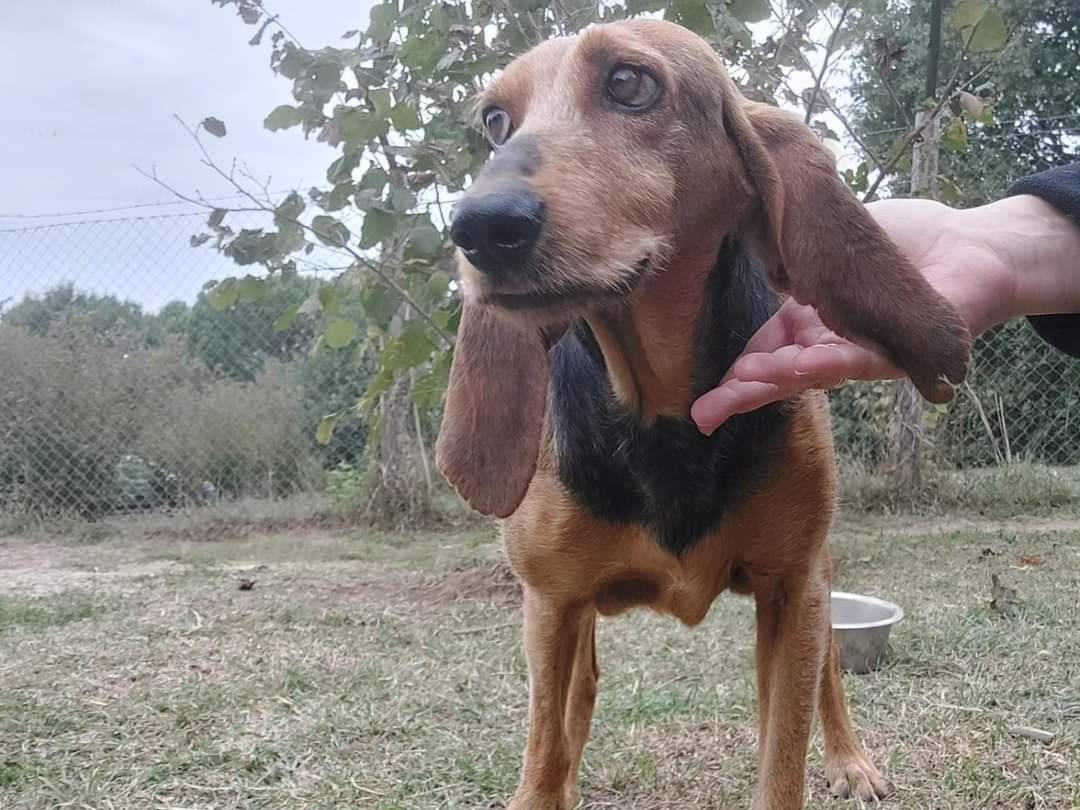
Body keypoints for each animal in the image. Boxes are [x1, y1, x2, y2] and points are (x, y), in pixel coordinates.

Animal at [434, 19, 976, 810]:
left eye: (629, 83)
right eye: (495, 121)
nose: (480, 227)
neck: (662, 417)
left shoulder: (791, 590)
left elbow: (784, 758)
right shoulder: (552, 605)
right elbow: (544, 753)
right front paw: (553, 779)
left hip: (815, 577)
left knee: (829, 674)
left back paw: (850, 759)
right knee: (577, 702)